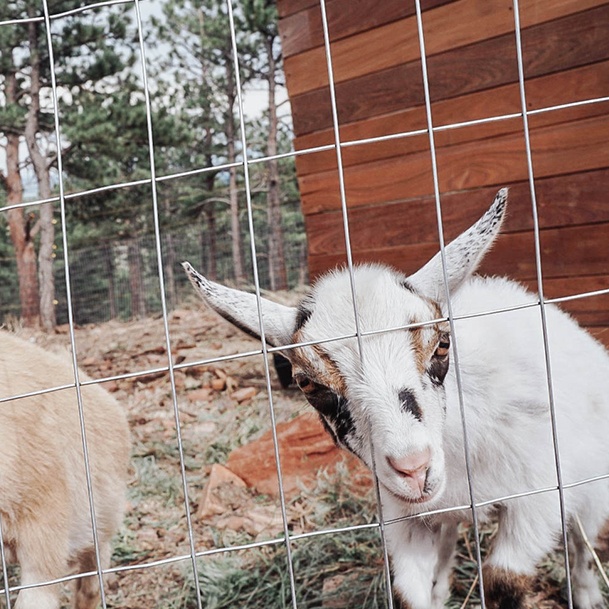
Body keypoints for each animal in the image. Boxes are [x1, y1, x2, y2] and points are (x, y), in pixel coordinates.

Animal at [182, 191, 608, 608]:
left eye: (442, 345)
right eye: (307, 383)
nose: (413, 468)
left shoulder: (537, 499)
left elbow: (505, 581)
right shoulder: (405, 517)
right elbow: (408, 591)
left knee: (582, 539)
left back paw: (587, 594)